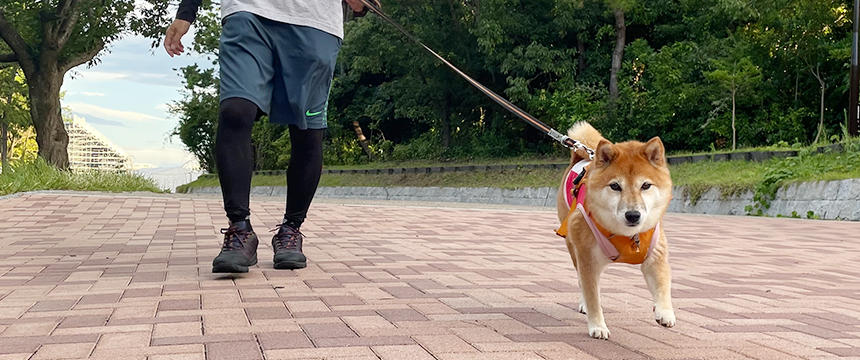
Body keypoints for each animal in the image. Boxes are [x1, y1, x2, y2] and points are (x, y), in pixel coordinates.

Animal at [556, 122, 676, 338]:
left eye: (646, 185)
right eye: (615, 186)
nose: (633, 215)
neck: (627, 236)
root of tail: (582, 157)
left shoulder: (655, 254)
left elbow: (663, 285)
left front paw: (664, 312)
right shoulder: (588, 259)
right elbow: (593, 296)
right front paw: (597, 326)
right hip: (574, 247)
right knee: (581, 281)